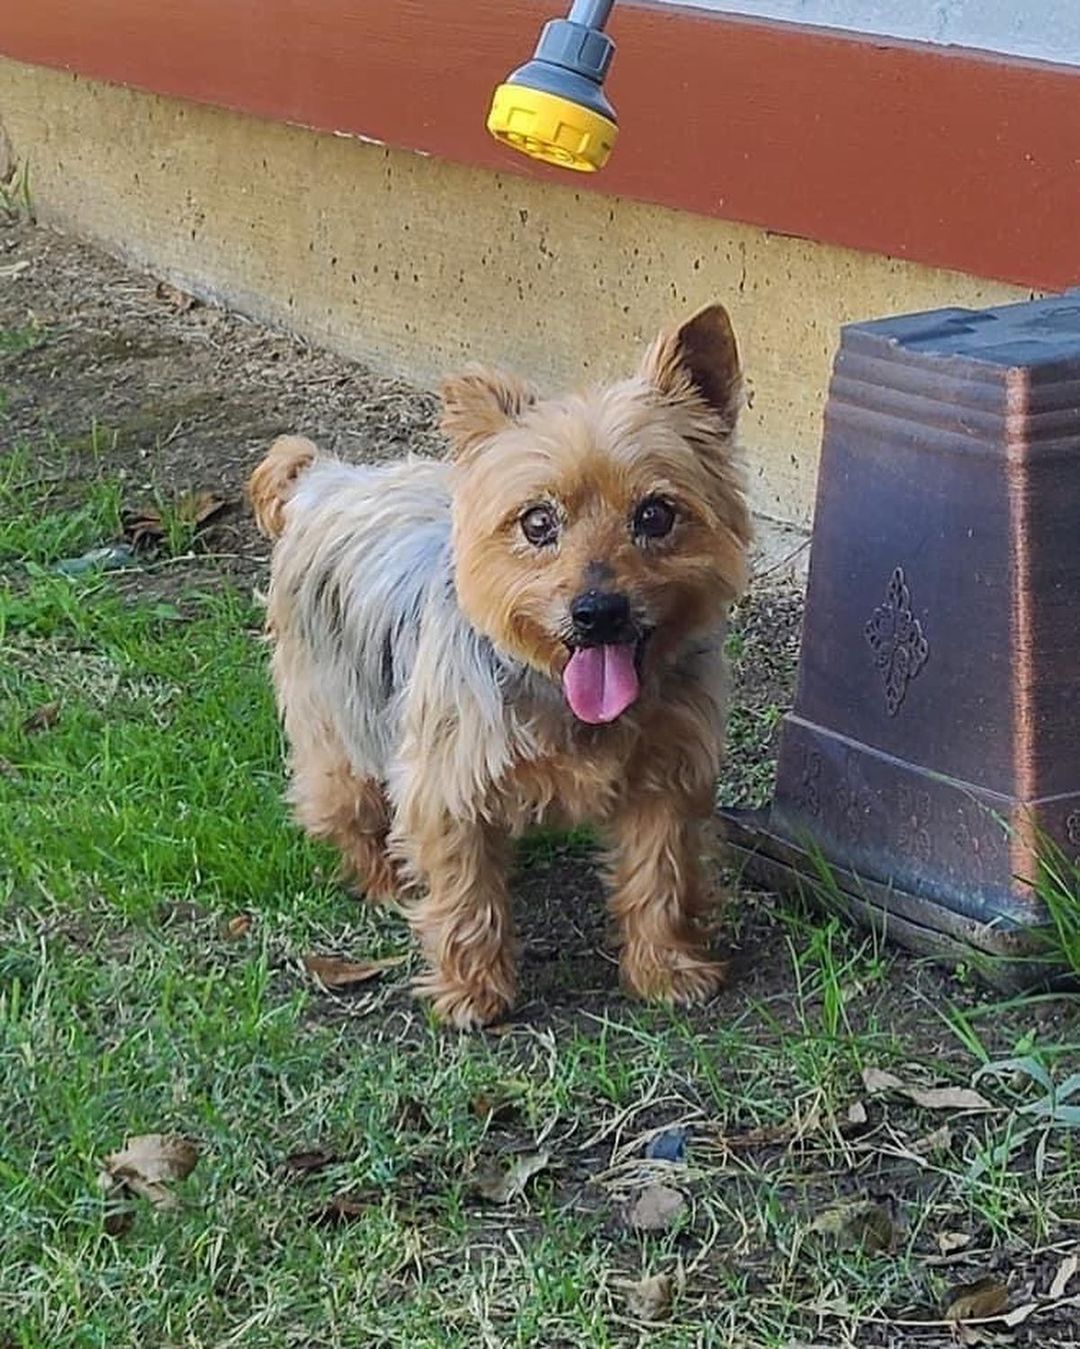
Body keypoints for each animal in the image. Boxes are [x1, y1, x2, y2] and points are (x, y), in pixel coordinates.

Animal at [248, 303, 744, 1019]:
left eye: (655, 514)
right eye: (537, 523)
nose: (598, 610)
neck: (558, 686)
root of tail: (326, 478)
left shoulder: (668, 776)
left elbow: (661, 874)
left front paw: (665, 968)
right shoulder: (447, 781)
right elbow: (465, 894)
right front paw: (472, 992)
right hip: (335, 710)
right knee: (345, 801)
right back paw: (383, 879)